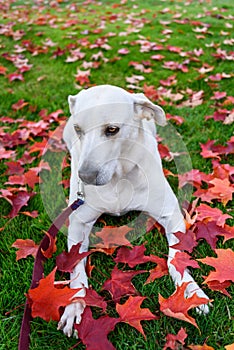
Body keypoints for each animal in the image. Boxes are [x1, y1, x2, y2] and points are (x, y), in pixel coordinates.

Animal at [57, 84, 209, 336]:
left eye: (112, 129)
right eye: (80, 129)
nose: (85, 177)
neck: (118, 177)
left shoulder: (172, 215)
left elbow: (175, 258)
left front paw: (190, 291)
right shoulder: (78, 221)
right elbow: (76, 267)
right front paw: (75, 306)